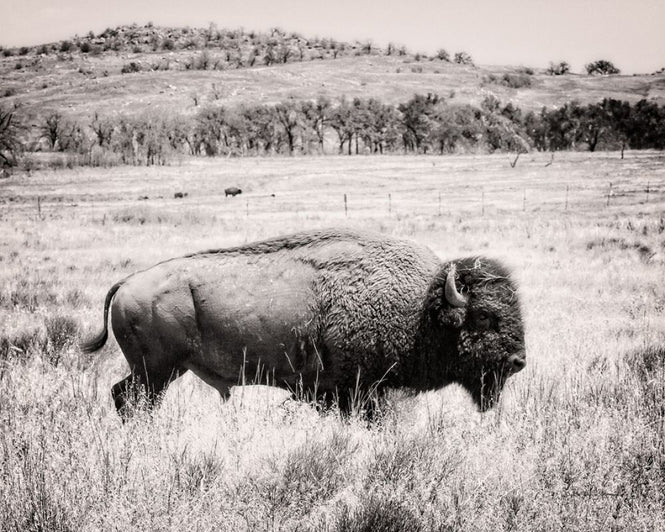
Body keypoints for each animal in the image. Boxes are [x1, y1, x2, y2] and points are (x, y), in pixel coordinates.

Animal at [81, 228, 526, 418]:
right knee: (130, 399)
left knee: (121, 395)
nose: (519, 360)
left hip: (158, 372)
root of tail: (128, 282)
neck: (420, 308)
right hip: (156, 372)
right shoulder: (358, 392)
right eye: (484, 316)